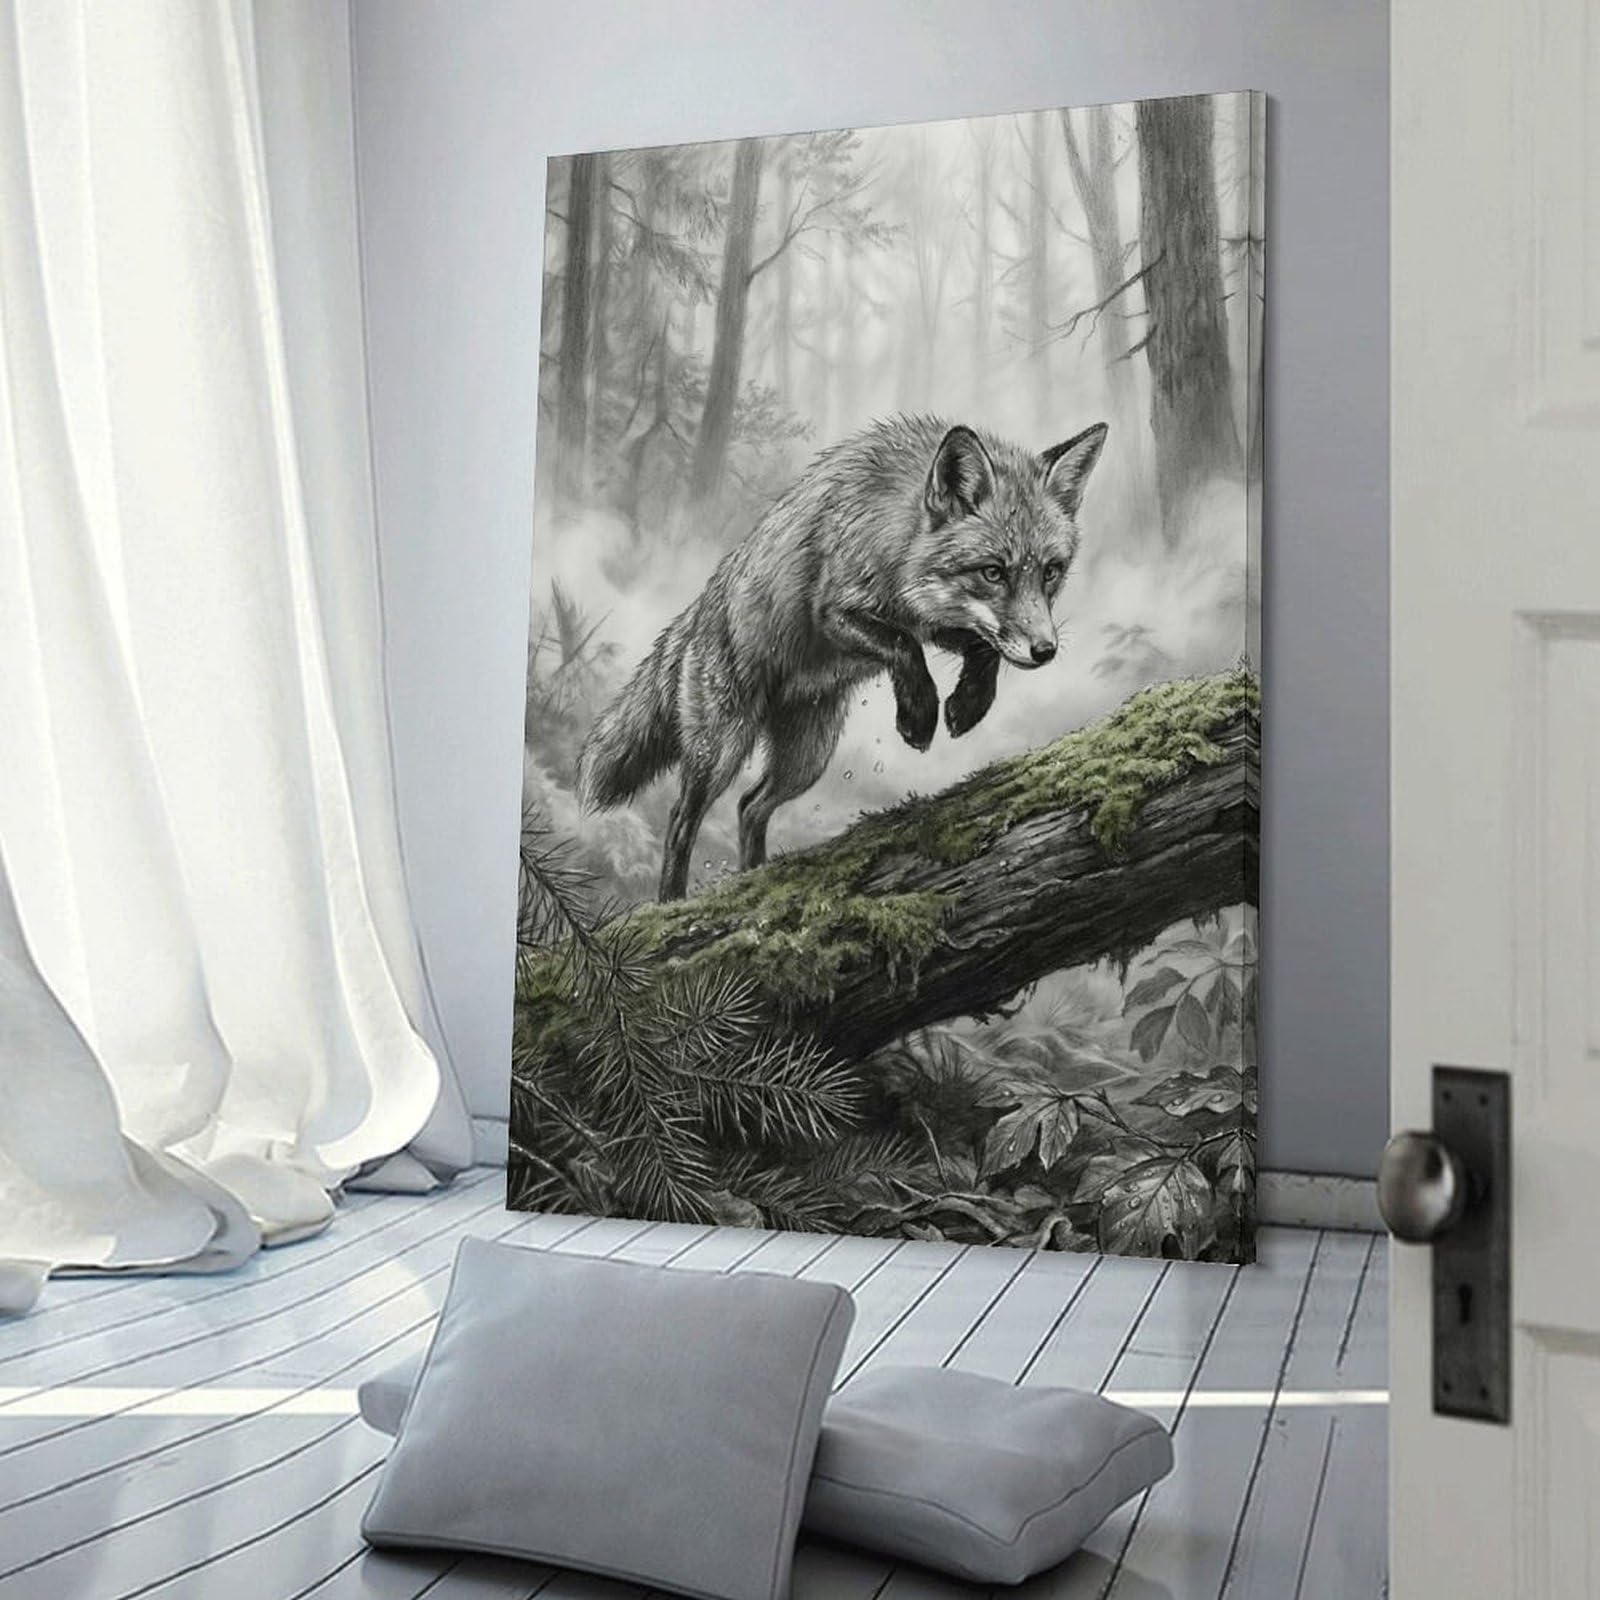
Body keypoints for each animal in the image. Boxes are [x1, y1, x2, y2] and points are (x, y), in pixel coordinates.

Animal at [578, 414, 1108, 901]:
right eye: (993, 572)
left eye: (1051, 571)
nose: (1045, 651)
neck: (891, 530)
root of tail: (698, 611)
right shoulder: (835, 612)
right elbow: (904, 647)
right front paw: (918, 716)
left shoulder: (935, 620)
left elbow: (981, 647)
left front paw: (967, 705)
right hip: (723, 748)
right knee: (680, 820)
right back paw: (670, 903)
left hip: (807, 758)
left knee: (750, 805)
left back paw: (753, 879)